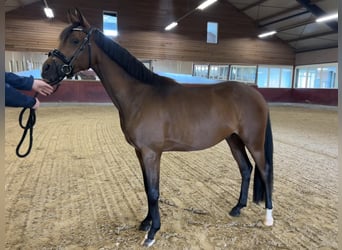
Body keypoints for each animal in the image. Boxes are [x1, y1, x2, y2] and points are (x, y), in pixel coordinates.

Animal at [41, 8, 274, 248]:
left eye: (75, 40)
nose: (46, 69)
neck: (139, 95)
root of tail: (255, 94)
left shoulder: (151, 153)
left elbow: (153, 191)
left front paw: (152, 232)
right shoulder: (140, 152)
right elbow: (147, 187)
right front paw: (146, 222)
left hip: (253, 141)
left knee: (264, 170)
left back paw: (268, 218)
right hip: (233, 139)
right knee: (246, 169)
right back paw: (237, 208)